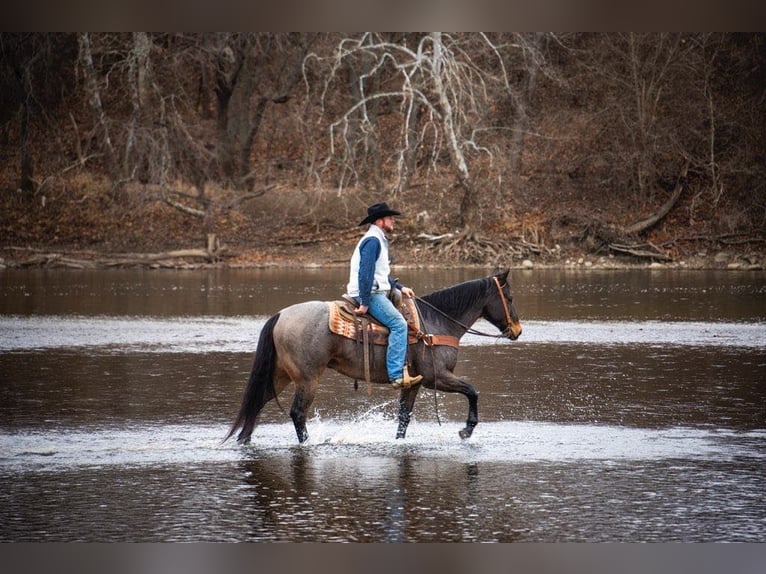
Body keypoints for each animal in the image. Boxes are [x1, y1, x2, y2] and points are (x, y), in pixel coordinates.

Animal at [222, 270, 520, 446]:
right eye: (509, 296)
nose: (517, 330)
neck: (436, 324)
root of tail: (281, 315)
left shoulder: (414, 382)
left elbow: (404, 416)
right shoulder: (438, 377)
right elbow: (472, 390)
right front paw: (466, 430)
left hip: (281, 374)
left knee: (258, 401)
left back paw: (243, 440)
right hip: (308, 378)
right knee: (297, 413)